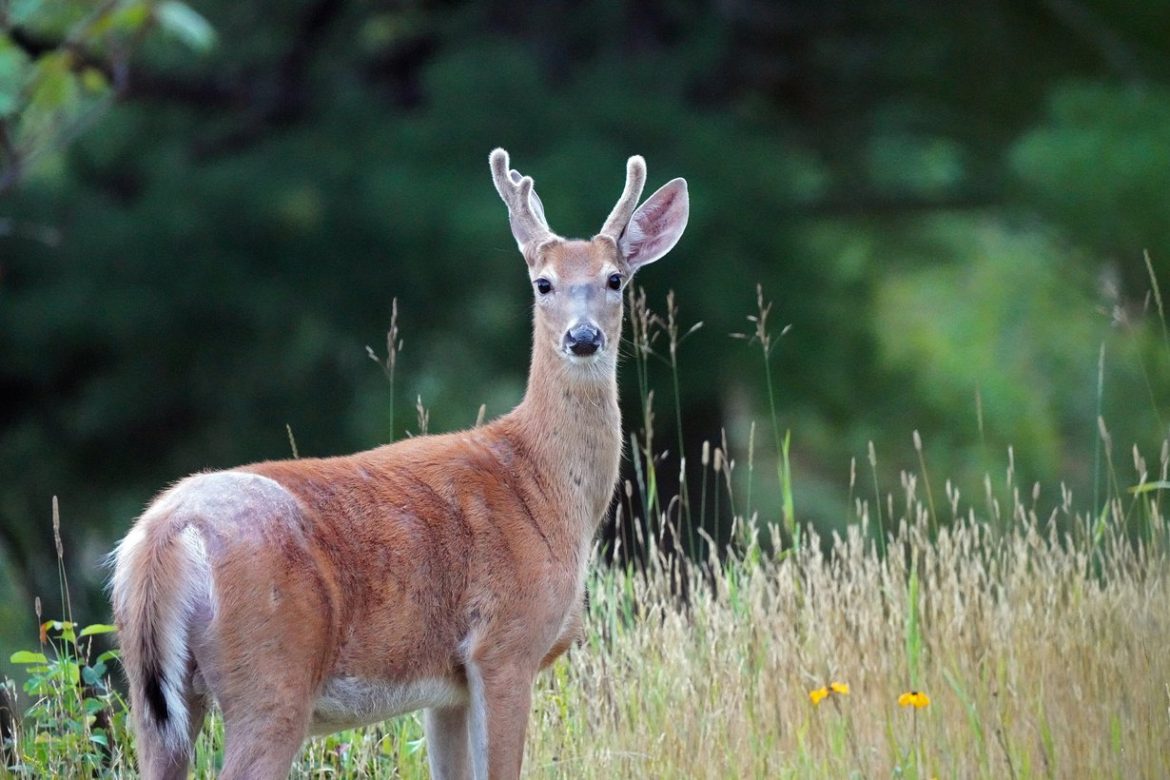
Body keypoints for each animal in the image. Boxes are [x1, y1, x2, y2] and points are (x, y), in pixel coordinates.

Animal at [110, 148, 689, 779]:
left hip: (154, 695)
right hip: (272, 669)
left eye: (615, 279)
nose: (583, 338)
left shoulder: (447, 688)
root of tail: (165, 536)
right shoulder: (505, 642)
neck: (546, 484)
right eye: (543, 283)